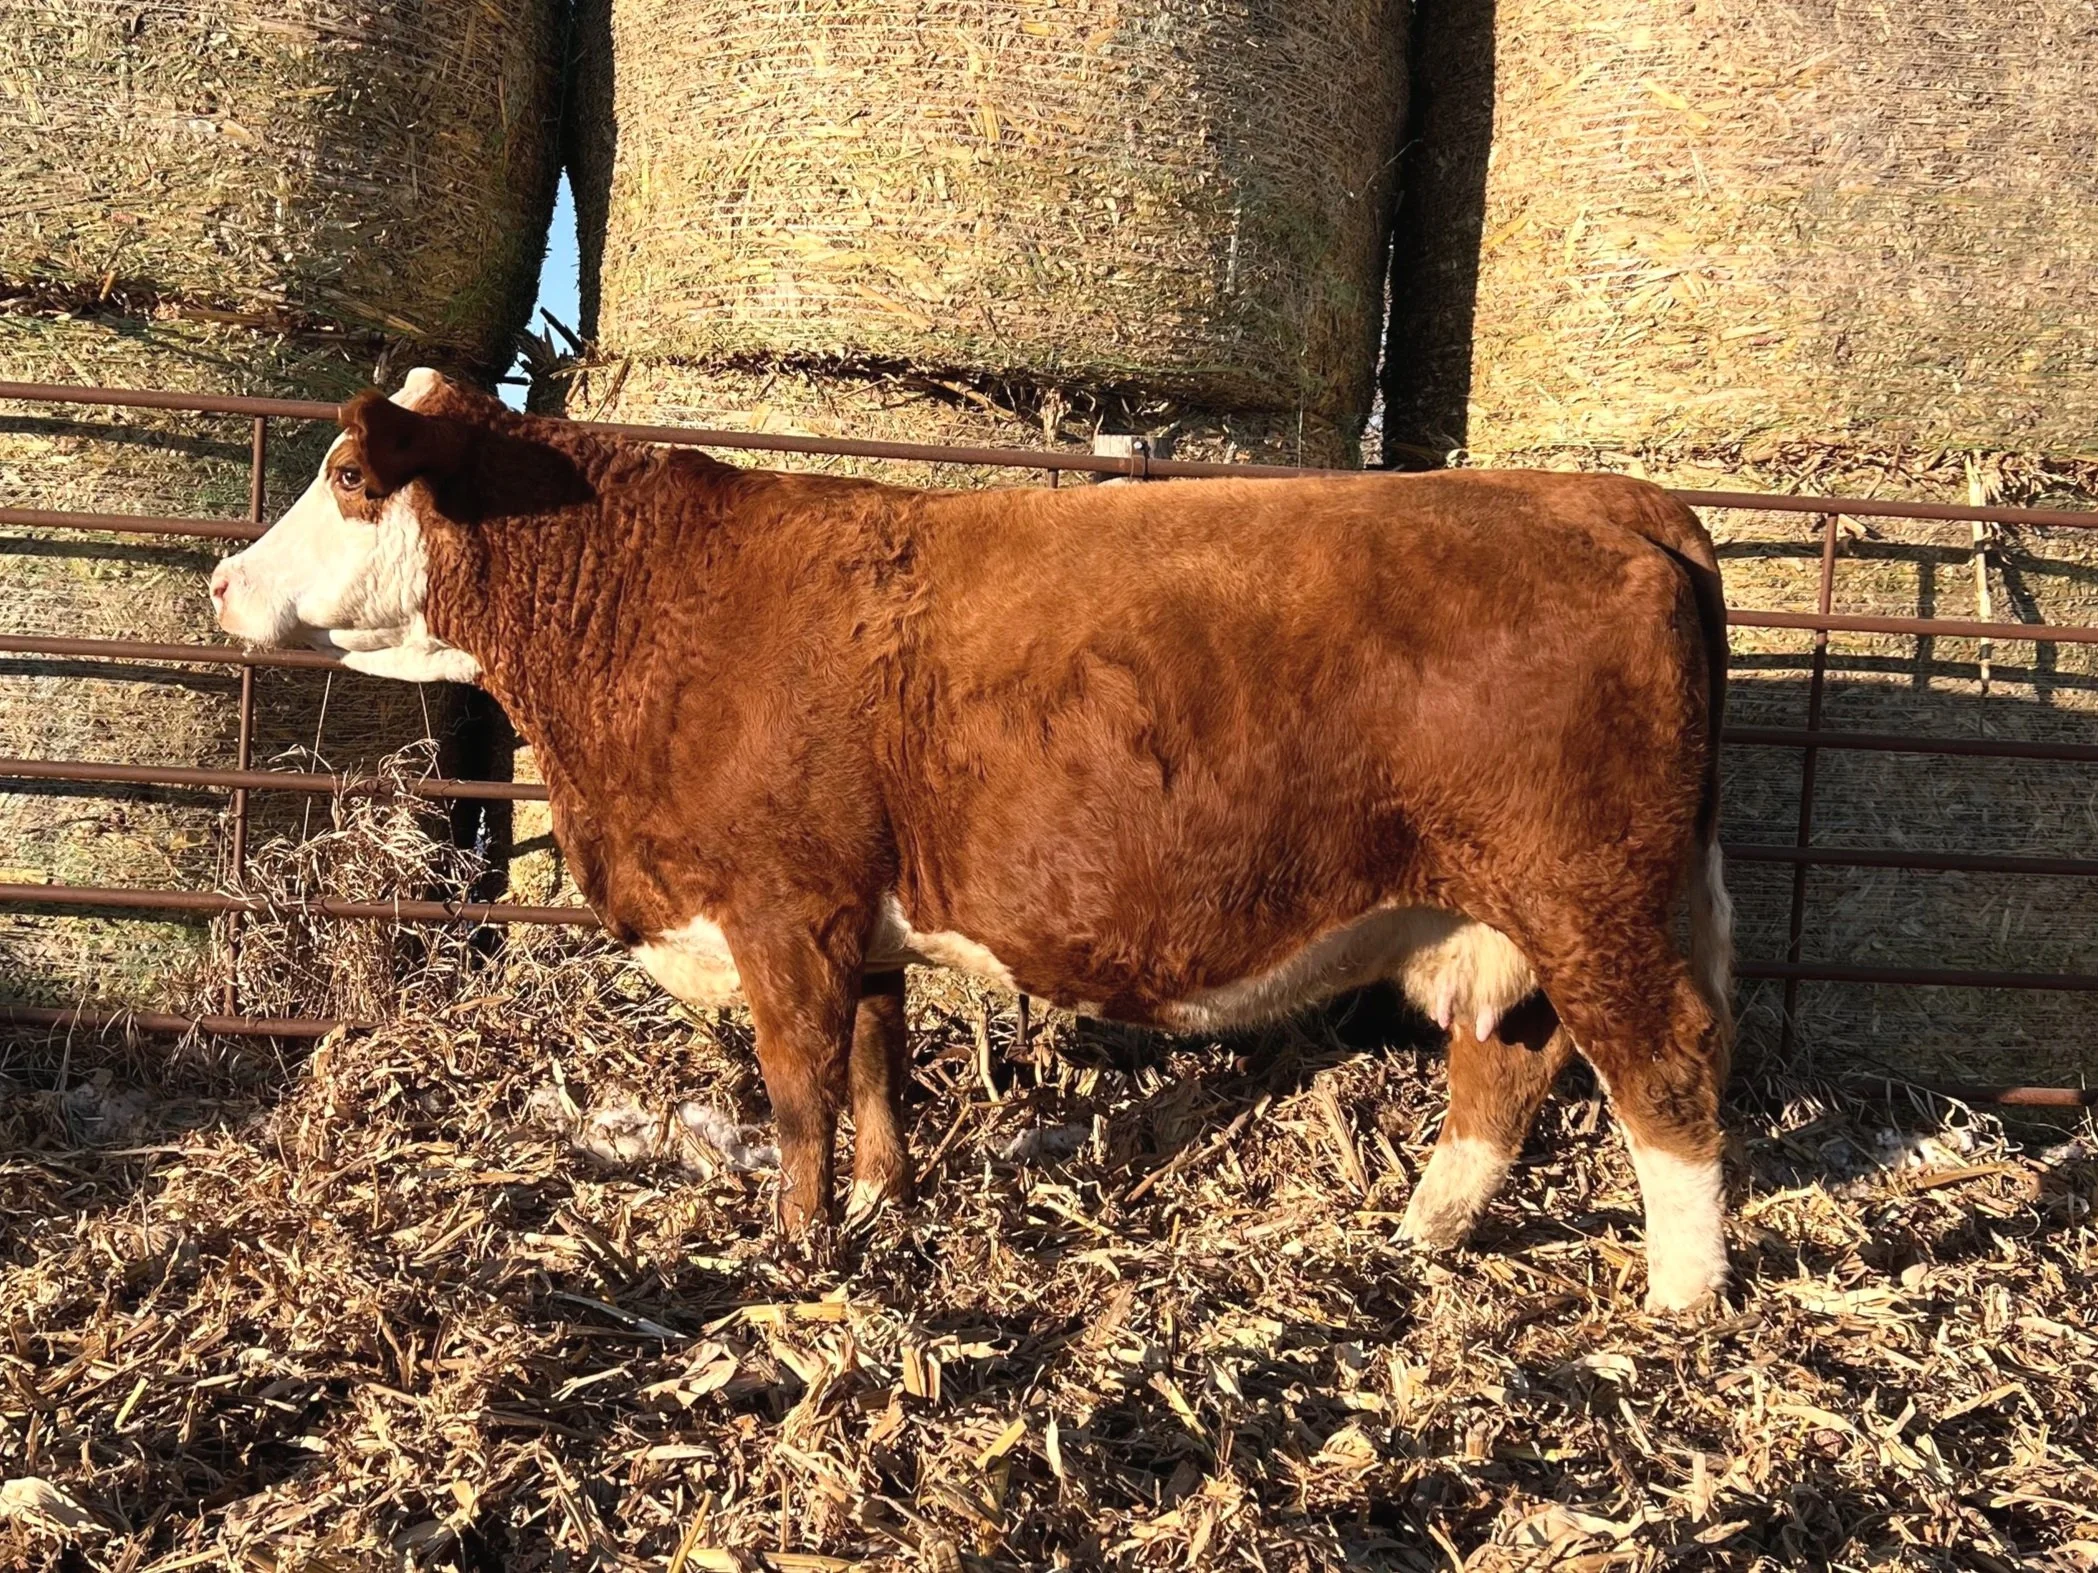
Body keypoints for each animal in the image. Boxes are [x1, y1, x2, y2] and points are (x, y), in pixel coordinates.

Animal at [209, 370, 1736, 1311]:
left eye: (345, 470)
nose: (220, 580)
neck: (657, 600)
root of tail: (1610, 498)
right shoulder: (860, 919)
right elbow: (880, 1069)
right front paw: (885, 1209)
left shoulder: (783, 910)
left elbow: (799, 1088)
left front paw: (797, 1243)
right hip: (1501, 913)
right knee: (1508, 1066)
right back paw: (1417, 1237)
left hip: (1587, 897)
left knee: (1662, 1068)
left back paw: (1679, 1301)